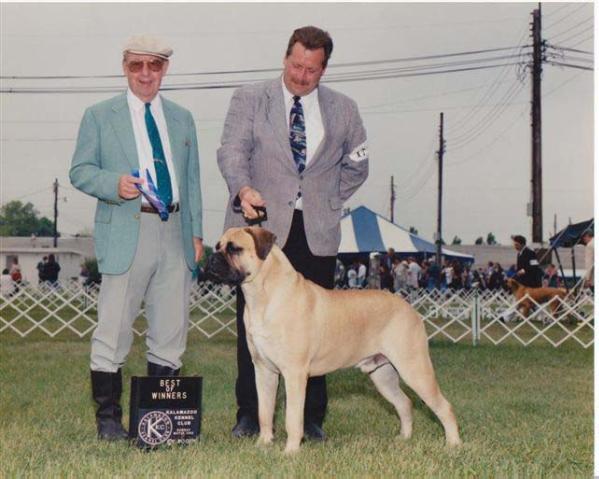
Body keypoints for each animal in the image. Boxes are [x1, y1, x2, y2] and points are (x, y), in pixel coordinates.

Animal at [205, 228, 460, 454]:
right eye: (217, 246)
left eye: (234, 248)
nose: (211, 259)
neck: (263, 295)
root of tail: (408, 308)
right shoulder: (264, 370)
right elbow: (265, 411)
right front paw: (263, 444)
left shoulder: (294, 373)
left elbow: (293, 417)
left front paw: (290, 451)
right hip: (382, 374)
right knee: (404, 403)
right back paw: (404, 438)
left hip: (414, 368)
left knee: (444, 406)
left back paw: (453, 445)